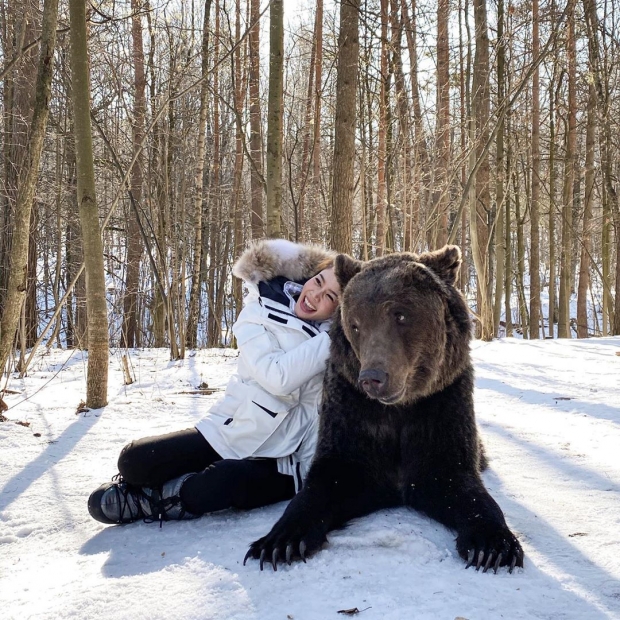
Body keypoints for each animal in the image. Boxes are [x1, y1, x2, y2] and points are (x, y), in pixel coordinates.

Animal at [242, 246, 524, 572]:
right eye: (355, 324)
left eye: (400, 314)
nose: (373, 378)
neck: (400, 409)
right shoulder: (353, 414)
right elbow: (327, 480)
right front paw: (279, 542)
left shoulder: (440, 407)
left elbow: (459, 481)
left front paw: (493, 545)